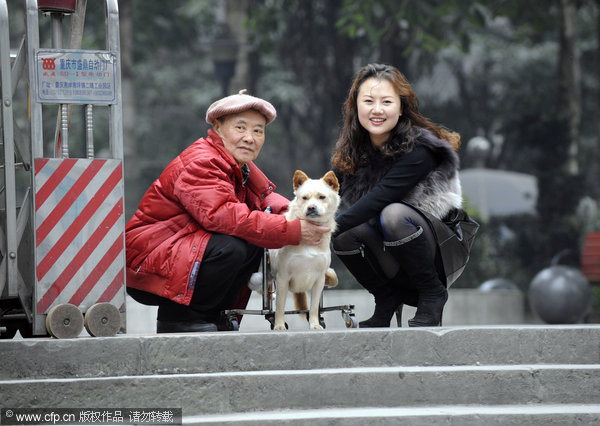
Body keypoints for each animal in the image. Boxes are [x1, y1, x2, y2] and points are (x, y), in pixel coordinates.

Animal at [270, 170, 340, 330]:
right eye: (305, 198)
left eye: (322, 197)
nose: (311, 208)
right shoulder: (282, 277)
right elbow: (280, 306)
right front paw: (279, 326)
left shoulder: (319, 279)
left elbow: (314, 307)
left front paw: (315, 325)